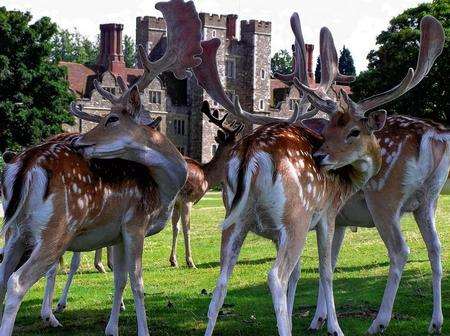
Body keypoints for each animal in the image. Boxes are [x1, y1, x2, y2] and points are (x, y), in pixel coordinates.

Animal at [0, 1, 202, 334]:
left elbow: (119, 279)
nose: (79, 141)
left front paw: (112, 327)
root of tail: (27, 163)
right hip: (56, 228)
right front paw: (142, 329)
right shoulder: (135, 222)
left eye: (112, 118)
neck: (162, 189)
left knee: (4, 277)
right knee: (18, 282)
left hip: (17, 231)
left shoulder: (117, 233)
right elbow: (137, 282)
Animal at [193, 12, 442, 336]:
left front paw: (315, 319)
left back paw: (434, 321)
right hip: (338, 212)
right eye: (333, 129)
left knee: (222, 282)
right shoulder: (328, 216)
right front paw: (329, 325)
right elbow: (325, 269)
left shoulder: (325, 222)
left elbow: (312, 269)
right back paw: (380, 322)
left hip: (237, 221)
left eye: (351, 130)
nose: (320, 156)